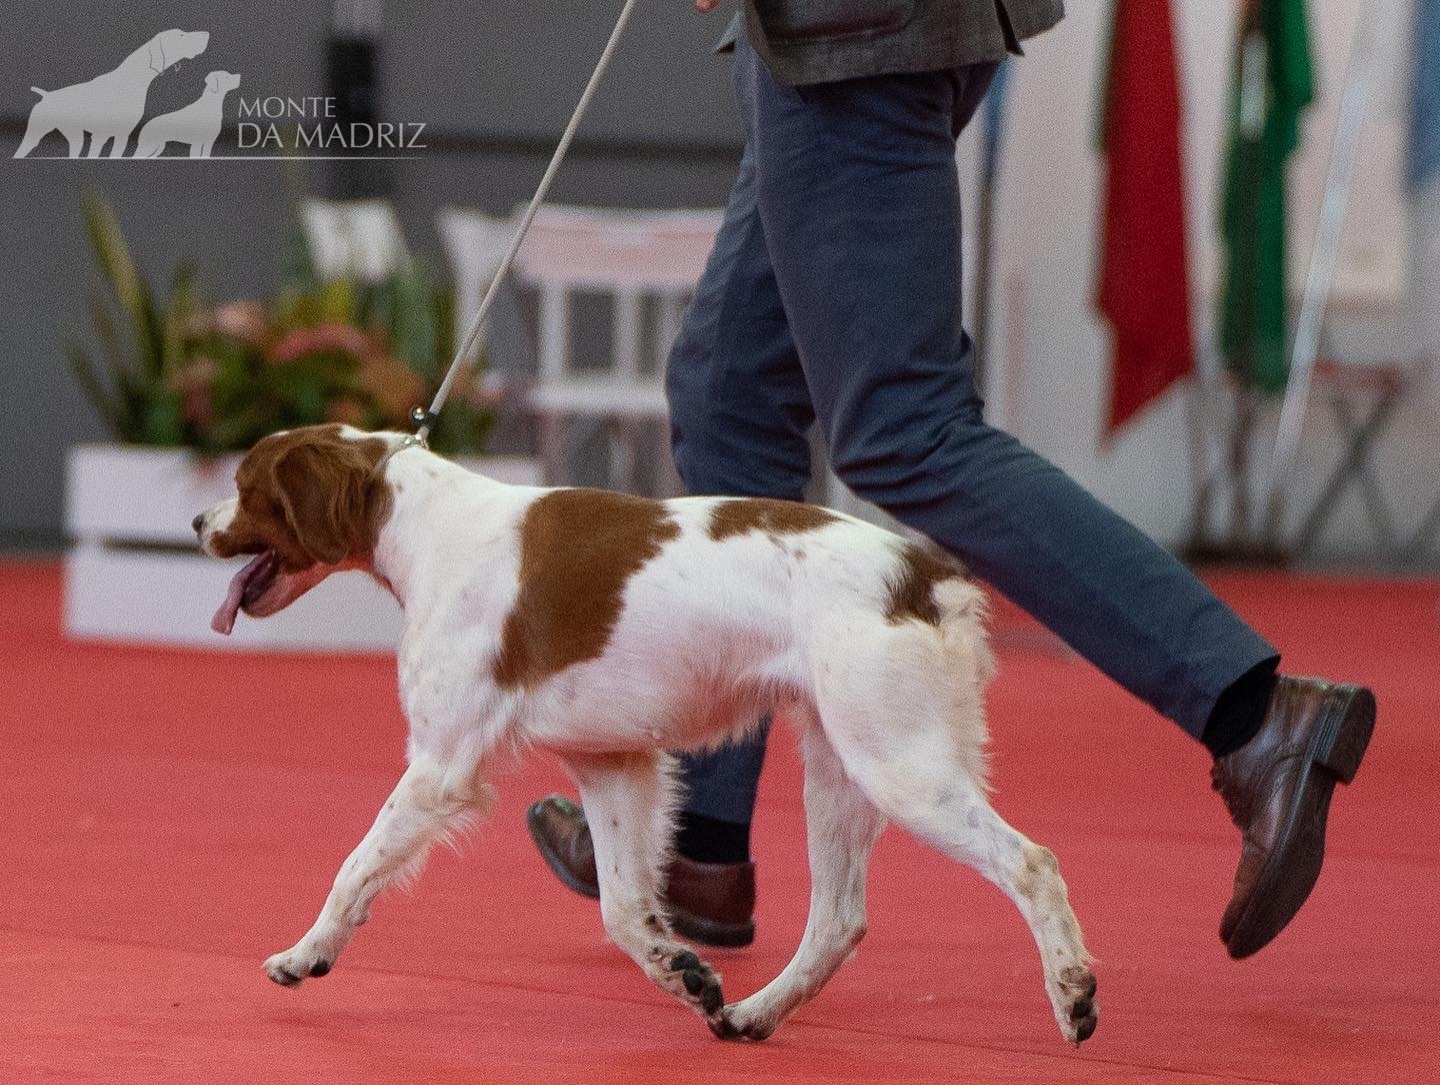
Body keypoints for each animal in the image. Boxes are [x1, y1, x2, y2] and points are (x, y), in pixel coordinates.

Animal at [197, 420, 1094, 1043]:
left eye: (245, 482)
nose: (200, 519)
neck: (425, 521)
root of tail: (924, 571)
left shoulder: (441, 762)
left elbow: (356, 865)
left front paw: (305, 954)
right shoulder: (613, 762)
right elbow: (626, 909)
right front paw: (684, 971)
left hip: (899, 764)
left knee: (1032, 860)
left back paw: (1074, 991)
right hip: (840, 767)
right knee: (838, 919)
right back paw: (754, 1014)